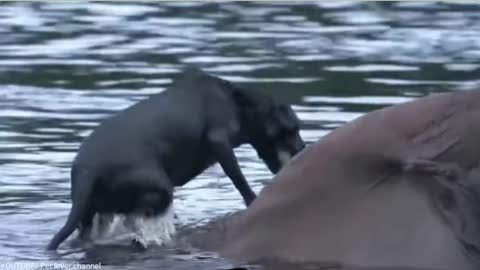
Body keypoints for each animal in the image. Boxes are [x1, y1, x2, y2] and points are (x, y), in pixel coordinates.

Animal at [47, 68, 304, 250]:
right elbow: (238, 178)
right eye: (294, 128)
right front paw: (252, 198)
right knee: (141, 214)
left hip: (92, 212)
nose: (303, 147)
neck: (237, 102)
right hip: (160, 187)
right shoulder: (219, 141)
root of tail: (85, 172)